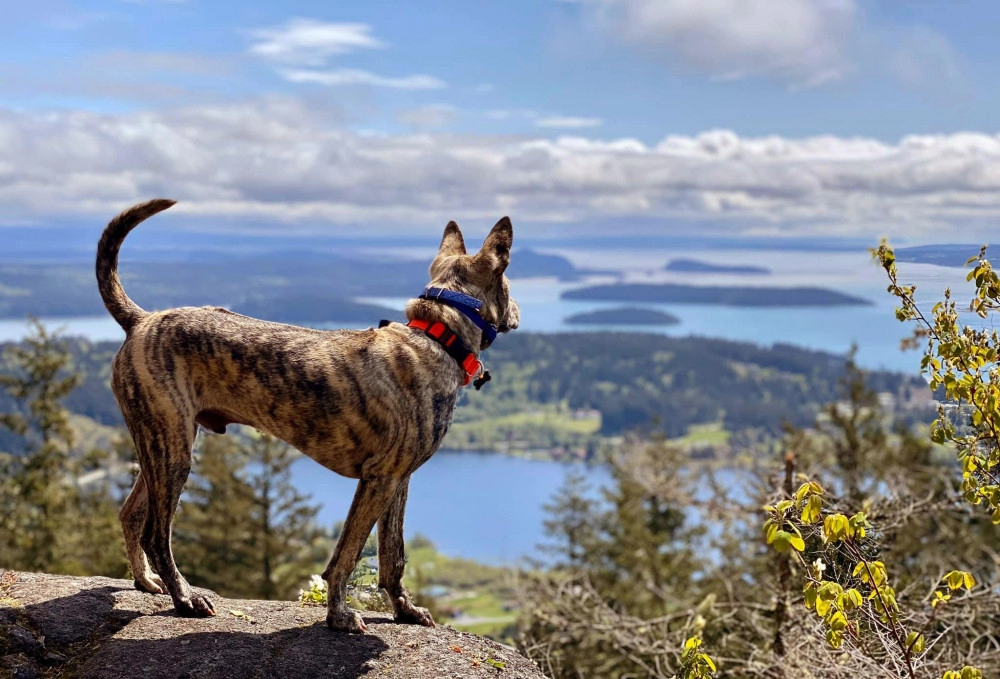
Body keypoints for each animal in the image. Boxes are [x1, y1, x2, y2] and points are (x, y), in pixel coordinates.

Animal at [95, 199, 524, 636]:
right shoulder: (379, 480)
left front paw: (404, 609)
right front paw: (339, 615)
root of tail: (141, 319)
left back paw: (146, 581)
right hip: (172, 451)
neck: (436, 337)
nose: (518, 311)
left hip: (163, 446)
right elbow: (346, 555)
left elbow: (394, 556)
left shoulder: (397, 481)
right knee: (155, 534)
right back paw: (184, 597)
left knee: (130, 514)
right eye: (509, 280)